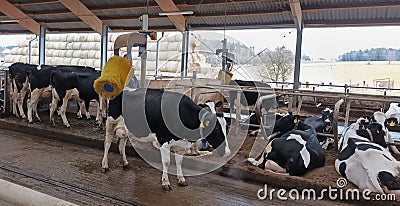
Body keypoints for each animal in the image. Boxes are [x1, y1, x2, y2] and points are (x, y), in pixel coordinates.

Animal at [101, 87, 230, 191]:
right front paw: (165, 183)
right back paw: (104, 165)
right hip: (110, 123)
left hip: (126, 130)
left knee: (121, 145)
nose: (228, 152)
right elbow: (167, 162)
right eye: (216, 129)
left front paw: (181, 179)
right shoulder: (164, 140)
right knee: (107, 144)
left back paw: (125, 163)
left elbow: (179, 162)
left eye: (226, 127)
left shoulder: (181, 145)